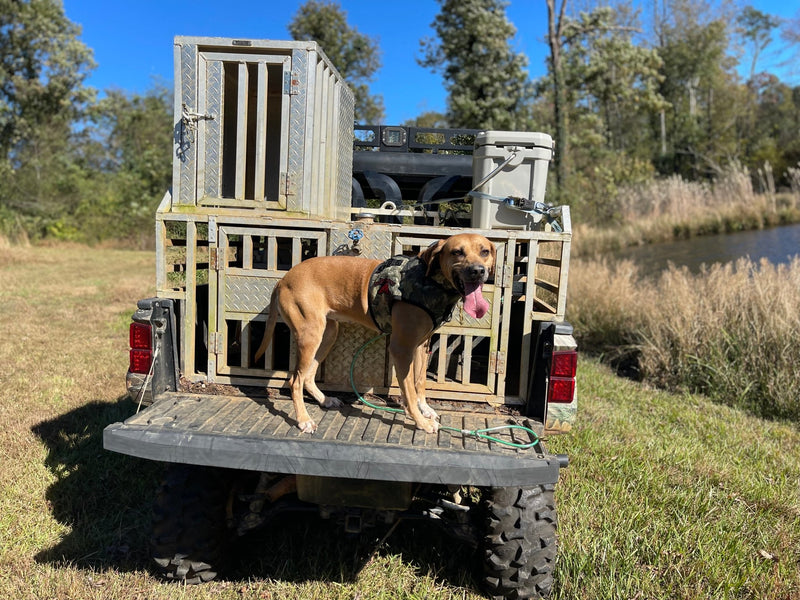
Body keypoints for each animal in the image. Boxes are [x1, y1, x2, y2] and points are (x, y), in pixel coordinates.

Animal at [256, 232, 494, 434]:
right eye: (457, 252)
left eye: (485, 251)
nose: (477, 271)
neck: (432, 282)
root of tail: (283, 280)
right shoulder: (401, 349)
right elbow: (408, 390)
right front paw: (420, 421)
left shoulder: (421, 346)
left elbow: (419, 383)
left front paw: (425, 410)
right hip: (310, 335)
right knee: (295, 380)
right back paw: (304, 420)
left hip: (327, 334)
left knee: (307, 376)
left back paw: (325, 400)